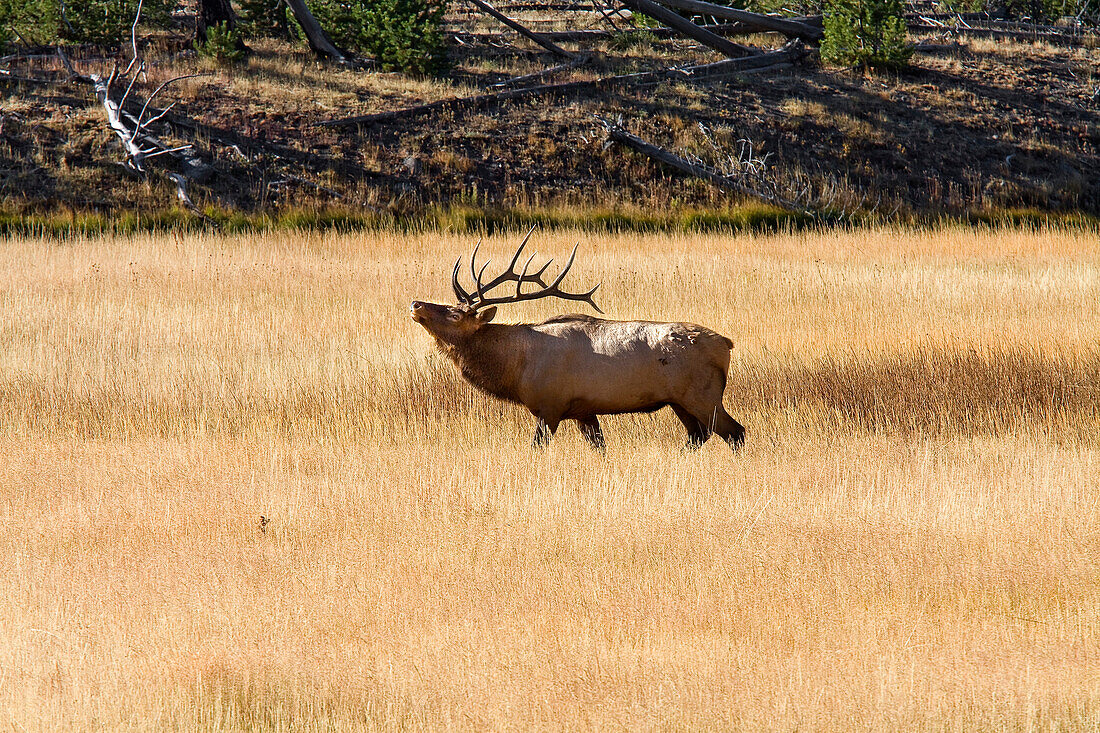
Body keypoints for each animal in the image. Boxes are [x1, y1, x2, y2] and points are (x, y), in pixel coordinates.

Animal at [413, 228, 748, 449]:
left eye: (457, 315)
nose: (416, 304)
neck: (516, 369)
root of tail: (726, 344)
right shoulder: (583, 411)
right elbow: (599, 447)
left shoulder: (550, 406)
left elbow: (536, 447)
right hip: (679, 401)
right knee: (698, 435)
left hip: (704, 395)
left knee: (735, 431)